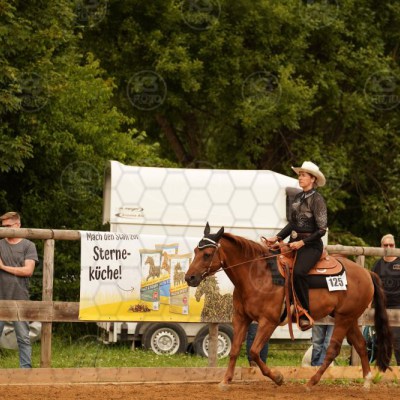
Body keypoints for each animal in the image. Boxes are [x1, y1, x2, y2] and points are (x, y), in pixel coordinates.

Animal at [185, 223, 393, 390]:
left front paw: (278, 378)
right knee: (361, 344)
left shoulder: (268, 322)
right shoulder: (241, 318)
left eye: (207, 254)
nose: (189, 277)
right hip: (350, 319)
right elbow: (235, 350)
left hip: (343, 318)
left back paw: (311, 383)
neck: (257, 275)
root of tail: (366, 273)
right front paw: (225, 381)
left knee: (333, 350)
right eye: (195, 251)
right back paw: (366, 382)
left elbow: (254, 352)